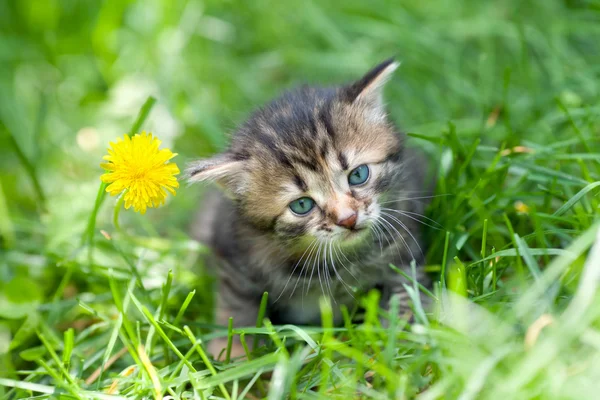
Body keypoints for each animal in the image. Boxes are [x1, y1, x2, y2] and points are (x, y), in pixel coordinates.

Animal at [190, 59, 428, 356]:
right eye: (302, 204)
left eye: (358, 175)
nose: (348, 219)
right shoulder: (233, 255)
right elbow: (235, 305)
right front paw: (231, 352)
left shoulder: (405, 246)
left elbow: (407, 292)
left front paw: (402, 338)